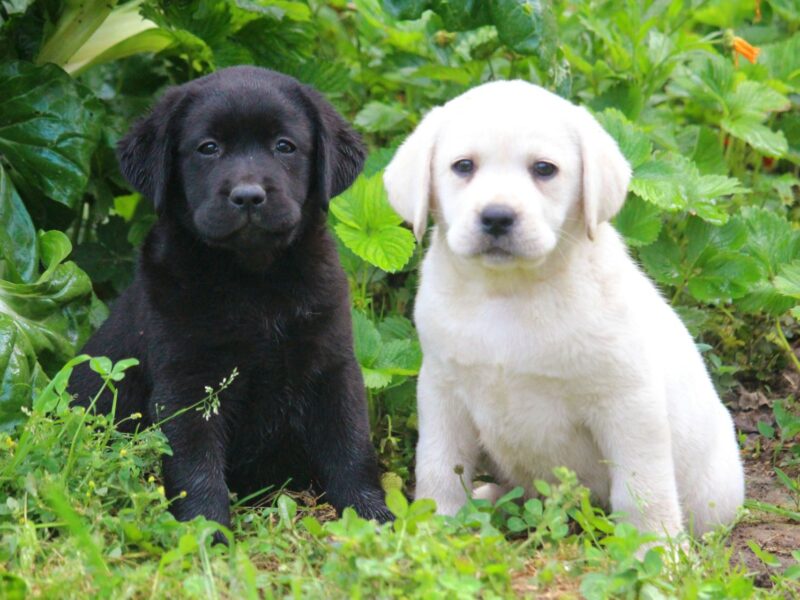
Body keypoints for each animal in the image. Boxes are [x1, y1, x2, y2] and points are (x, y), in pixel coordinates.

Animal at [69, 65, 390, 536]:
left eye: (284, 146)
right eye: (208, 148)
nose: (248, 195)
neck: (255, 282)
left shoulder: (333, 366)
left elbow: (349, 446)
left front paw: (373, 517)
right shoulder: (188, 384)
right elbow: (195, 465)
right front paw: (206, 532)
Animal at [382, 81, 744, 540]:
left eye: (544, 169)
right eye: (463, 166)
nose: (497, 217)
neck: (509, 294)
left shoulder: (629, 404)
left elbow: (643, 488)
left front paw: (654, 550)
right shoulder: (442, 390)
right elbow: (438, 464)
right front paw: (436, 526)